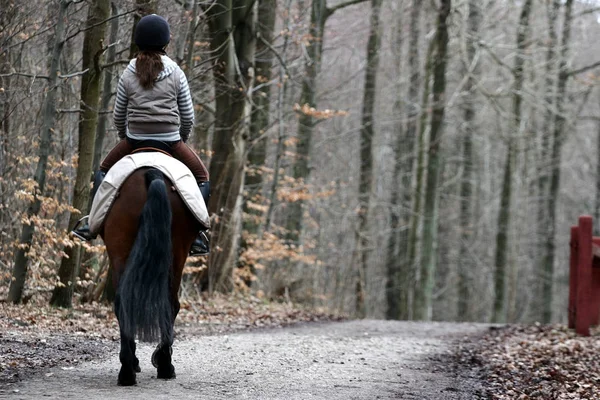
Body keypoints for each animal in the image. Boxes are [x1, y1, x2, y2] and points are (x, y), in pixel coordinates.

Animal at [101, 166, 199, 384]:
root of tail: (151, 172)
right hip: (176, 255)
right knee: (170, 305)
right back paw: (164, 366)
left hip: (121, 249)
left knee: (124, 302)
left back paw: (128, 370)